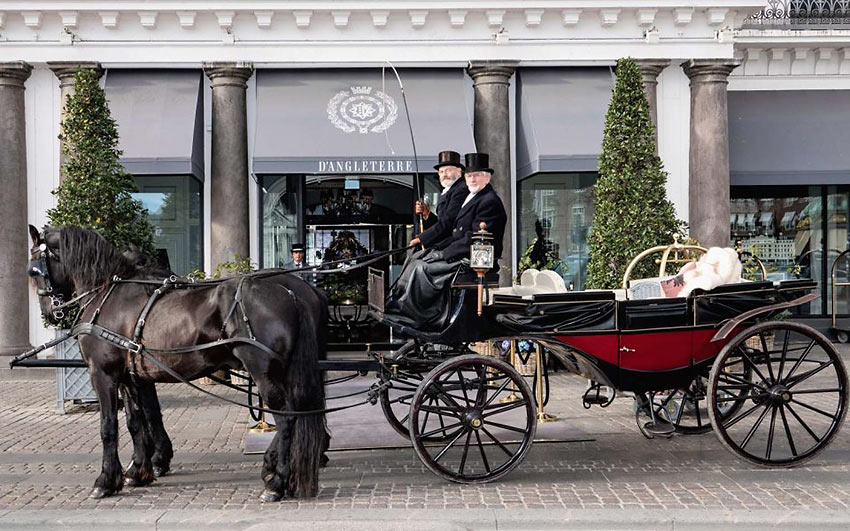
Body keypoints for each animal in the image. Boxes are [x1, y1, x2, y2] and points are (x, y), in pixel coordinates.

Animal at [28, 227, 326, 500]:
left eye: (33, 270)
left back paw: (277, 482)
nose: (49, 313)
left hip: (263, 371)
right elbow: (135, 422)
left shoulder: (103, 374)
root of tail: (290, 293)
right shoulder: (131, 377)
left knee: (287, 418)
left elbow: (109, 426)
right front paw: (138, 470)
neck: (108, 294)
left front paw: (106, 480)